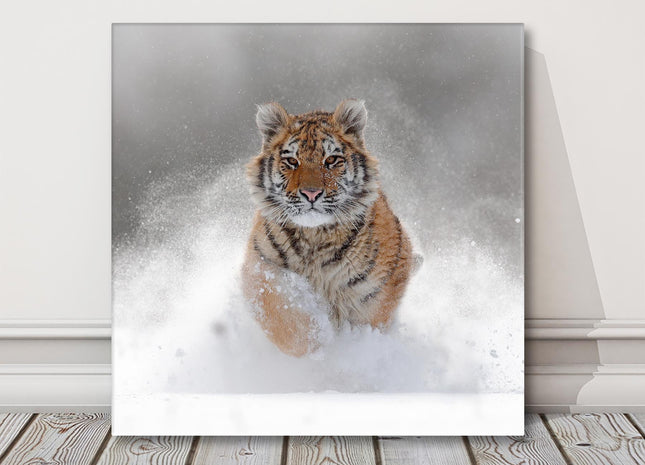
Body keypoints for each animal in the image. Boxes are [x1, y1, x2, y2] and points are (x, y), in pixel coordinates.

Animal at [241, 99, 416, 357]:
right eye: (292, 161)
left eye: (331, 160)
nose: (311, 193)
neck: (315, 237)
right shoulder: (260, 267)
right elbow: (284, 317)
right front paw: (317, 342)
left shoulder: (377, 290)